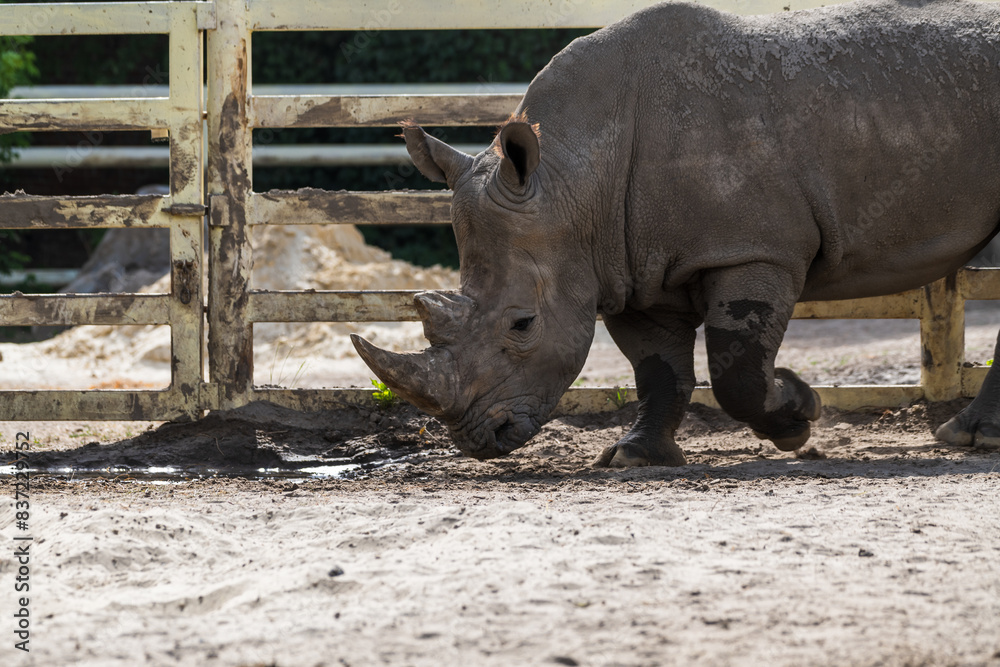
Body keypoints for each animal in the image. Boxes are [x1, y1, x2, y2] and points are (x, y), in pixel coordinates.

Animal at [352, 0, 1000, 466]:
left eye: (523, 324)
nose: (478, 439)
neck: (572, 177)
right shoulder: (625, 266)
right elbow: (657, 368)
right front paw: (635, 458)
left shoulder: (751, 249)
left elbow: (736, 368)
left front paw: (800, 412)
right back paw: (965, 437)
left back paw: (969, 440)